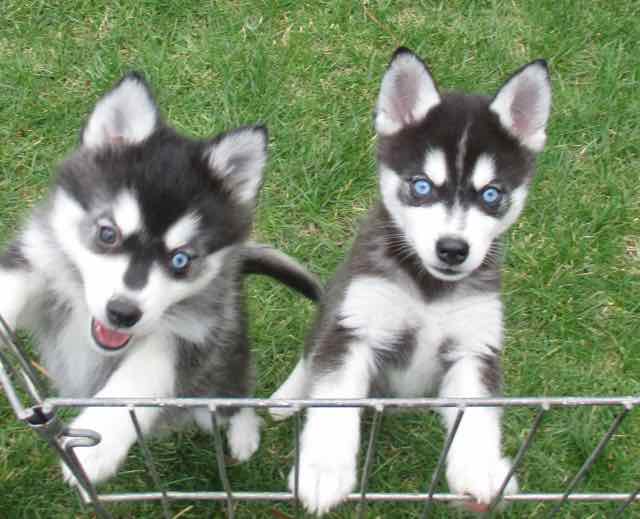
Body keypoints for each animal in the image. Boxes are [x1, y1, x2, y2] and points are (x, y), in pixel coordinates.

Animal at [0, 72, 320, 488]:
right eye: (107, 233)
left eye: (180, 259)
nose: (122, 313)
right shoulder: (37, 259)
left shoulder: (192, 336)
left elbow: (138, 380)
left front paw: (98, 442)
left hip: (221, 373)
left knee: (236, 400)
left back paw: (245, 433)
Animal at [270, 48, 552, 516]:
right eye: (421, 186)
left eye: (491, 194)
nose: (453, 249)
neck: (429, 291)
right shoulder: (354, 329)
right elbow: (333, 399)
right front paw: (323, 470)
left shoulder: (474, 348)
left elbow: (477, 415)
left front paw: (480, 469)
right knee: (310, 357)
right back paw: (286, 397)